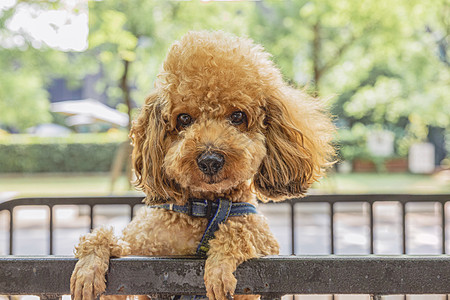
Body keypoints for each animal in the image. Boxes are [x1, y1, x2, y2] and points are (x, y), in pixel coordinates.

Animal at [70, 30, 336, 300]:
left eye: (238, 116)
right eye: (184, 119)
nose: (210, 161)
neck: (205, 207)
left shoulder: (263, 244)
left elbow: (239, 230)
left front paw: (219, 267)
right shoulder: (137, 264)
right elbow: (105, 240)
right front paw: (90, 266)